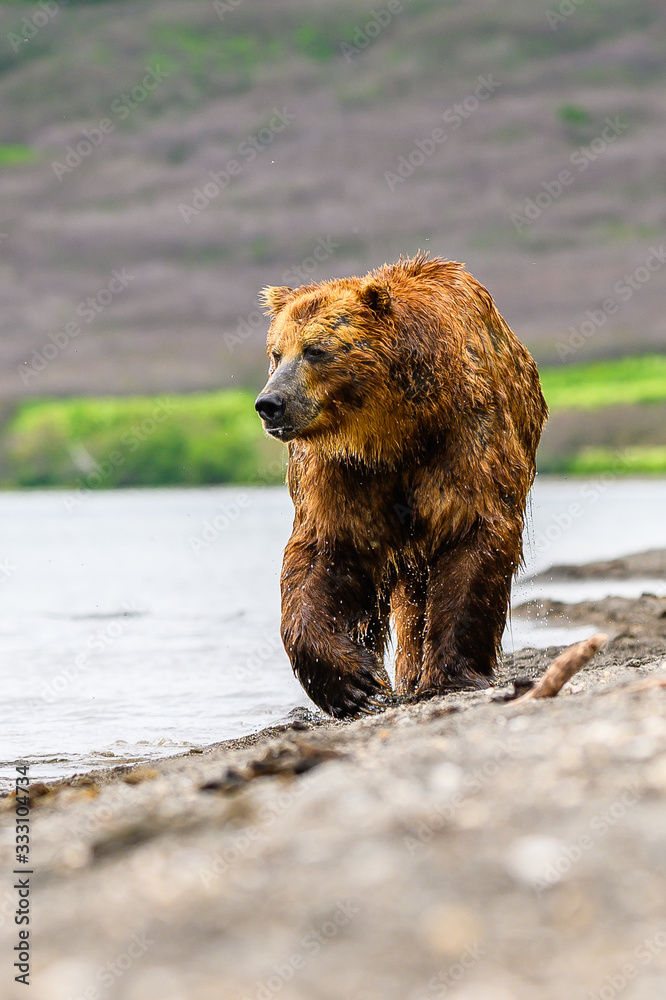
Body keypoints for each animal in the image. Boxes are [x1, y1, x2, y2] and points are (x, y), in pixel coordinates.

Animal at [255, 253, 548, 718]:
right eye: (276, 352)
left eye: (316, 350)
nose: (270, 404)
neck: (395, 432)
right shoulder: (343, 472)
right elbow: (323, 553)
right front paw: (355, 682)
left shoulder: (464, 436)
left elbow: (472, 532)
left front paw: (448, 674)